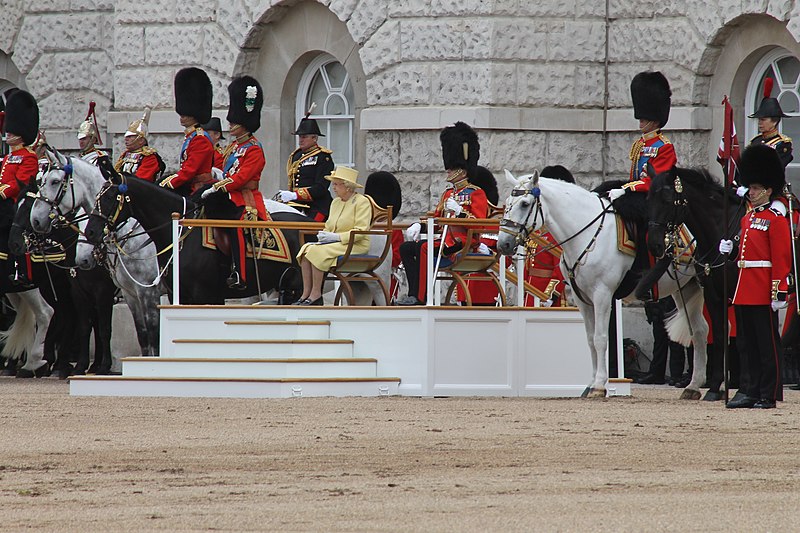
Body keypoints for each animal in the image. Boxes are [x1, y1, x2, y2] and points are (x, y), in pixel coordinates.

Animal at [496, 171, 708, 400]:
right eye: (508, 202)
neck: (586, 234)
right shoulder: (582, 299)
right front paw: (590, 383)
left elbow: (600, 339)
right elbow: (590, 340)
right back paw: (694, 386)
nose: (503, 244)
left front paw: (599, 385)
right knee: (699, 330)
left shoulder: (602, 295)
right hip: (684, 288)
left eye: (525, 204)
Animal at [644, 166, 752, 400]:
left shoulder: (739, 293)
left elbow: (743, 340)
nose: (655, 245)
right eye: (648, 199)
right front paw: (714, 388)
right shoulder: (713, 293)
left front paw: (744, 388)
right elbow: (720, 335)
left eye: (667, 199)